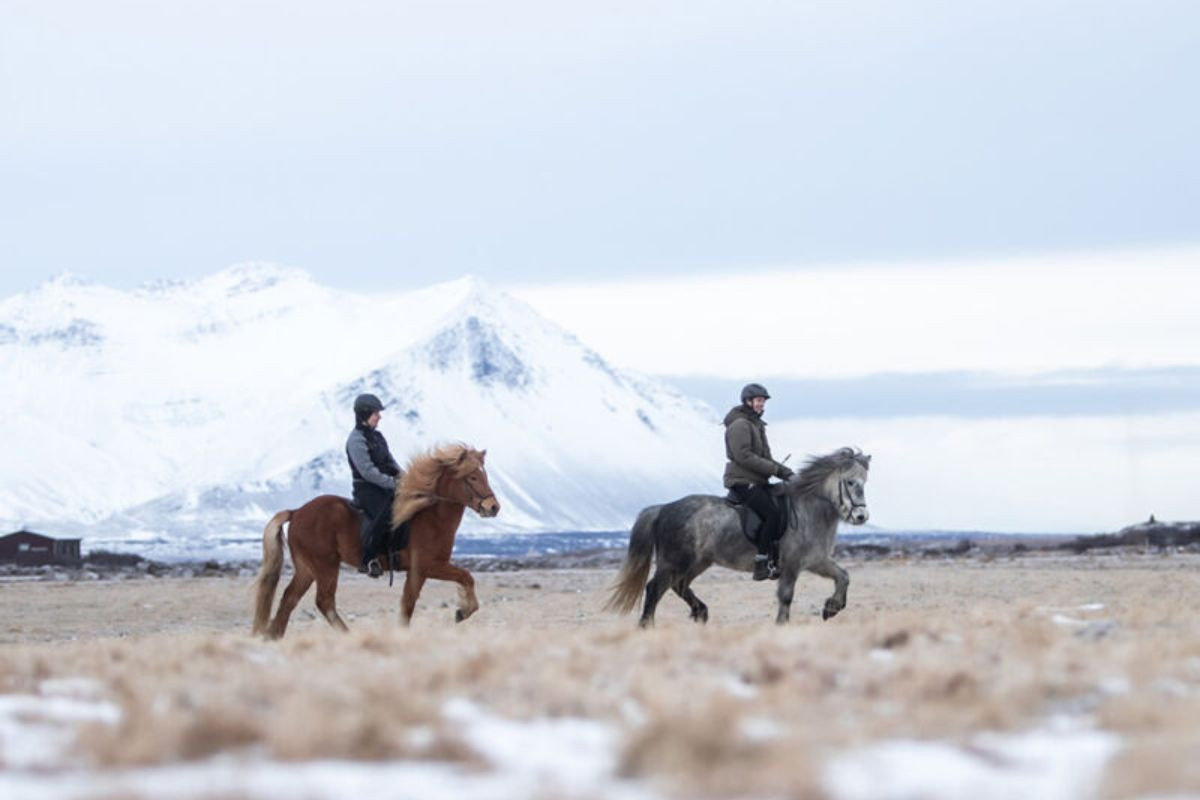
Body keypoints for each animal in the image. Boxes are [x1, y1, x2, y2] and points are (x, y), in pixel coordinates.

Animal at [251, 444, 499, 639]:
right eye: (472, 477)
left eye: (485, 475)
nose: (493, 507)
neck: (430, 516)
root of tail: (296, 512)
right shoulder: (427, 566)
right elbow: (464, 577)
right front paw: (462, 612)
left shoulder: (418, 571)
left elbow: (408, 604)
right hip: (325, 565)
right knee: (324, 601)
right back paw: (347, 637)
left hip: (307, 568)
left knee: (289, 599)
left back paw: (272, 637)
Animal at [605, 447, 871, 627]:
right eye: (850, 482)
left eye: (864, 483)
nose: (861, 516)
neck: (809, 509)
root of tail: (663, 508)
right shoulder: (792, 564)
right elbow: (786, 597)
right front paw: (782, 625)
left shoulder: (816, 560)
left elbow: (843, 577)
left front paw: (832, 608)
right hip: (675, 560)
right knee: (655, 588)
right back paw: (647, 627)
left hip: (698, 562)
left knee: (679, 585)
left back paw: (701, 612)